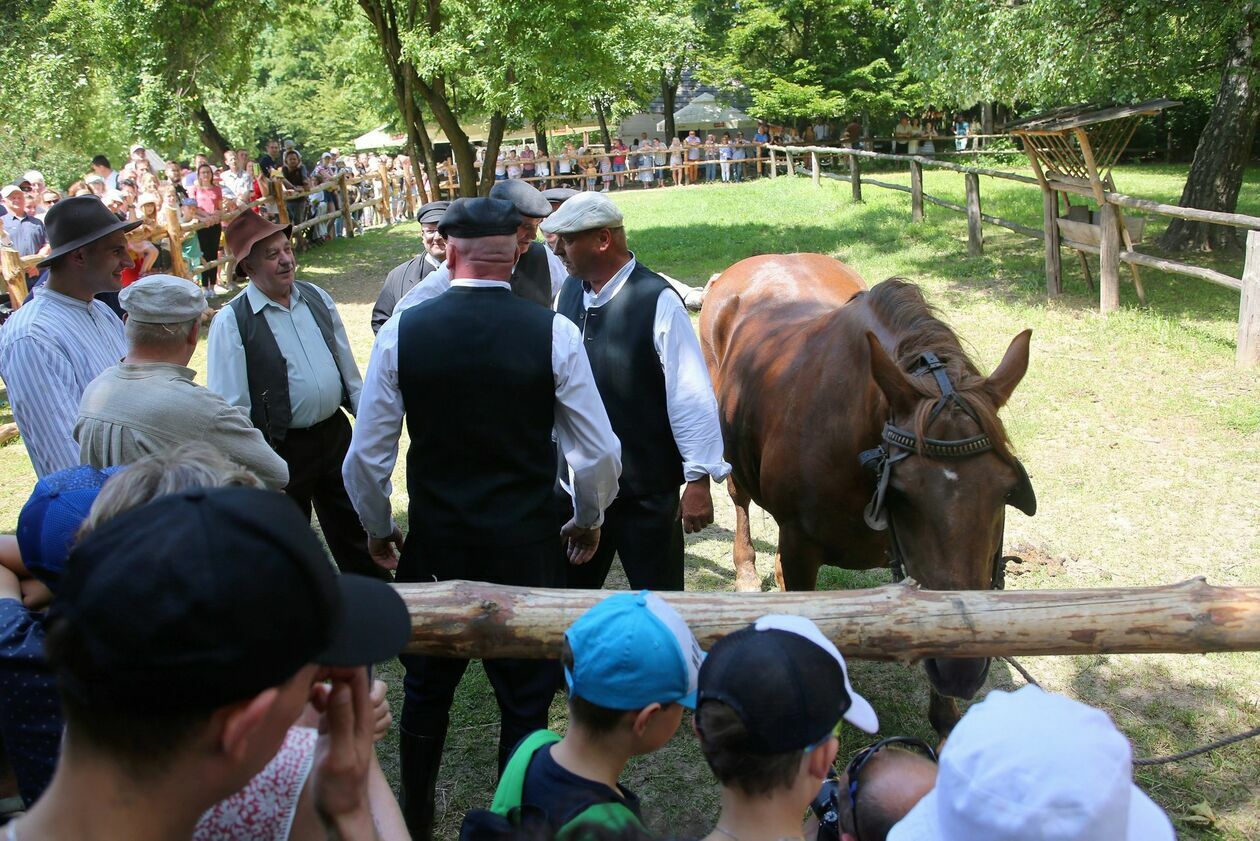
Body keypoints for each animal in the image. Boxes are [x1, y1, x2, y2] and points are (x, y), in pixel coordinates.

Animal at [700, 253, 1033, 731]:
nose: (963, 668)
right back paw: (746, 570)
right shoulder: (801, 550)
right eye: (902, 493)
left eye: (1007, 491)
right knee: (739, 496)